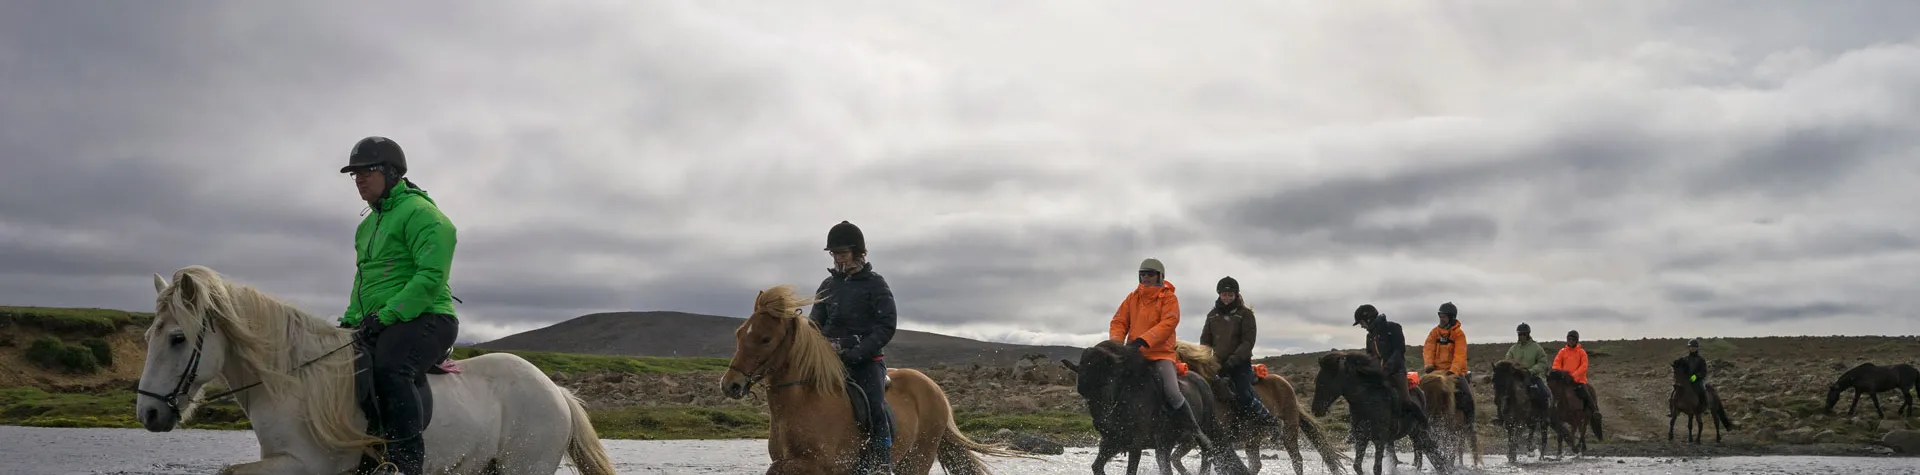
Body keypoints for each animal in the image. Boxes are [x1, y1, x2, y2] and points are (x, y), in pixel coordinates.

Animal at [134, 265, 610, 475]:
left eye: (177, 338)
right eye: (147, 337)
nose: (149, 414)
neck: (292, 382)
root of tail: (555, 390)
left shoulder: (305, 466)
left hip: (523, 466)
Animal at [721, 286, 1021, 475]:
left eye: (765, 339)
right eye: (739, 333)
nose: (730, 384)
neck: (804, 401)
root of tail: (934, 388)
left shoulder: (820, 465)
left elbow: (775, 469)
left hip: (917, 459)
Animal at [1159, 342, 1344, 473]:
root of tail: (1287, 386)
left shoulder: (1201, 438)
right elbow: (1177, 459)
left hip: (1289, 432)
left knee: (1297, 460)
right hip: (1252, 439)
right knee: (1256, 465)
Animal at [1313, 348, 1443, 475]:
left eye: (1322, 382)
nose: (1315, 409)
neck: (1367, 403)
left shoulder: (1379, 440)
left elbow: (1377, 468)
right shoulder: (1361, 438)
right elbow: (1357, 466)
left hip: (1418, 432)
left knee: (1425, 453)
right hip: (1407, 435)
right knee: (1416, 455)